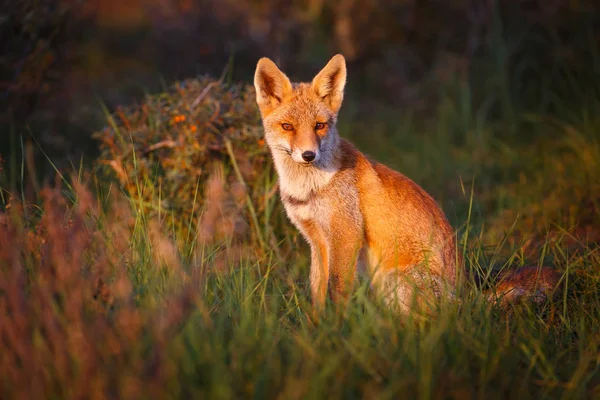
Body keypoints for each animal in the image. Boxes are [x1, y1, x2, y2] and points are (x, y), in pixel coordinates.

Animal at [252, 54, 556, 314]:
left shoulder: (346, 234)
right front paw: (316, 327)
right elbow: (317, 291)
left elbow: (337, 290)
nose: (308, 155)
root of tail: (466, 296)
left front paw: (336, 329)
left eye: (319, 126)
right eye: (288, 127)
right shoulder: (317, 240)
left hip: (395, 280)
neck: (309, 189)